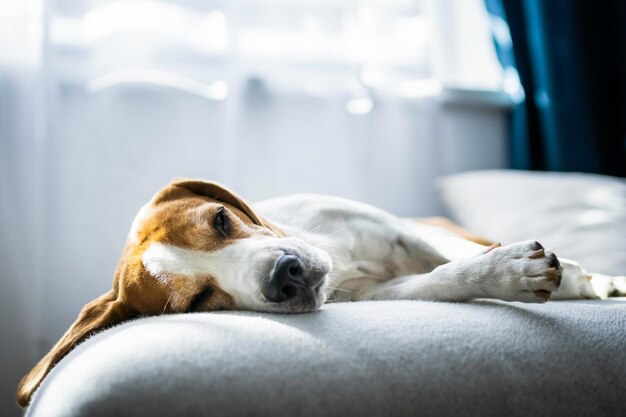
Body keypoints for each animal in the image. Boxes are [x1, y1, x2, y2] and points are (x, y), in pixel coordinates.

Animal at [17, 177, 604, 404]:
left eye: (222, 218)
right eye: (197, 303)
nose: (287, 274)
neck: (339, 257)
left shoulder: (401, 229)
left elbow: (449, 254)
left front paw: (568, 275)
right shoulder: (380, 295)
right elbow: (445, 277)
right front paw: (510, 273)